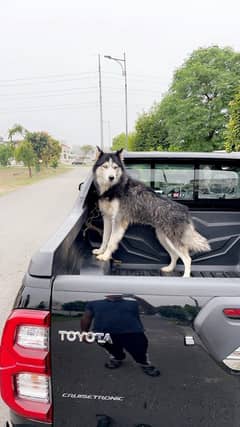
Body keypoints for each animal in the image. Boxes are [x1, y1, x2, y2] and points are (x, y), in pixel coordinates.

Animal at [92, 149, 210, 280]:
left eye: (115, 167)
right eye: (105, 166)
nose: (111, 177)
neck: (114, 188)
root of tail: (185, 211)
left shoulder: (118, 221)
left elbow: (111, 242)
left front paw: (105, 256)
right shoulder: (107, 218)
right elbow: (105, 239)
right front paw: (101, 251)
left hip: (173, 239)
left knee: (187, 258)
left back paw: (186, 277)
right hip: (163, 237)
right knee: (175, 255)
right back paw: (169, 269)